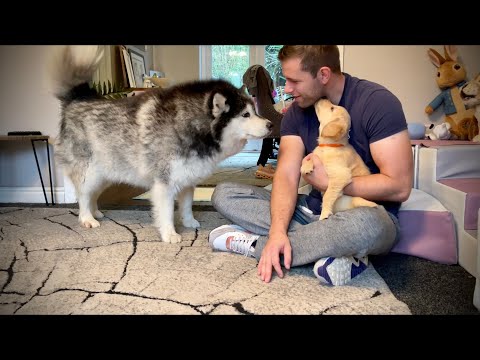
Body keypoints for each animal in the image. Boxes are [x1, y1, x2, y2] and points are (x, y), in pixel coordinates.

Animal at [51, 45, 274, 242]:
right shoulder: (164, 184)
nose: (271, 124)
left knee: (92, 195)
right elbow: (166, 212)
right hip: (89, 172)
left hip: (105, 172)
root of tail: (77, 99)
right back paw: (86, 218)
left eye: (254, 111)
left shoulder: (187, 180)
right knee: (83, 195)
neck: (190, 126)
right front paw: (170, 234)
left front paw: (189, 222)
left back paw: (95, 212)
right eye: (245, 114)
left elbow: (186, 206)